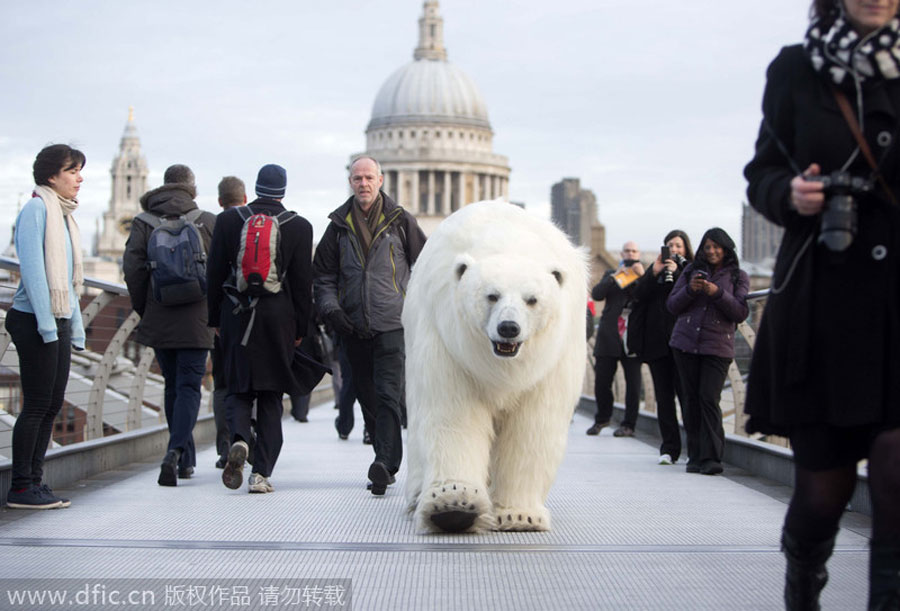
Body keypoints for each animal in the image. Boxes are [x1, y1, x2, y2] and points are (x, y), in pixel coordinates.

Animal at [404, 202, 588, 536]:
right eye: (491, 295)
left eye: (532, 300)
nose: (508, 328)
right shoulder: (449, 344)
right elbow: (454, 415)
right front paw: (453, 507)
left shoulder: (553, 358)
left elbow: (534, 425)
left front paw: (520, 516)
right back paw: (416, 498)